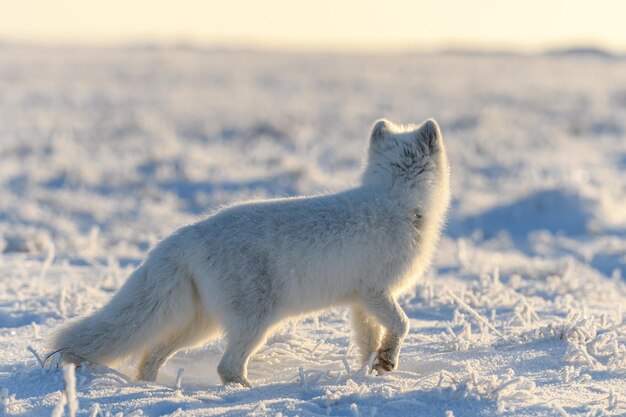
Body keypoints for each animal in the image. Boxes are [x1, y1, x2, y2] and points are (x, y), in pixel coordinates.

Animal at [48, 118, 448, 386]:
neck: (396, 199)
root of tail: (185, 235)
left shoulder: (359, 300)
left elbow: (368, 341)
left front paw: (373, 373)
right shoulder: (376, 291)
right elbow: (402, 324)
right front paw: (387, 361)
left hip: (200, 323)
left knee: (152, 353)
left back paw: (149, 387)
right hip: (255, 320)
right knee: (226, 366)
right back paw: (248, 393)